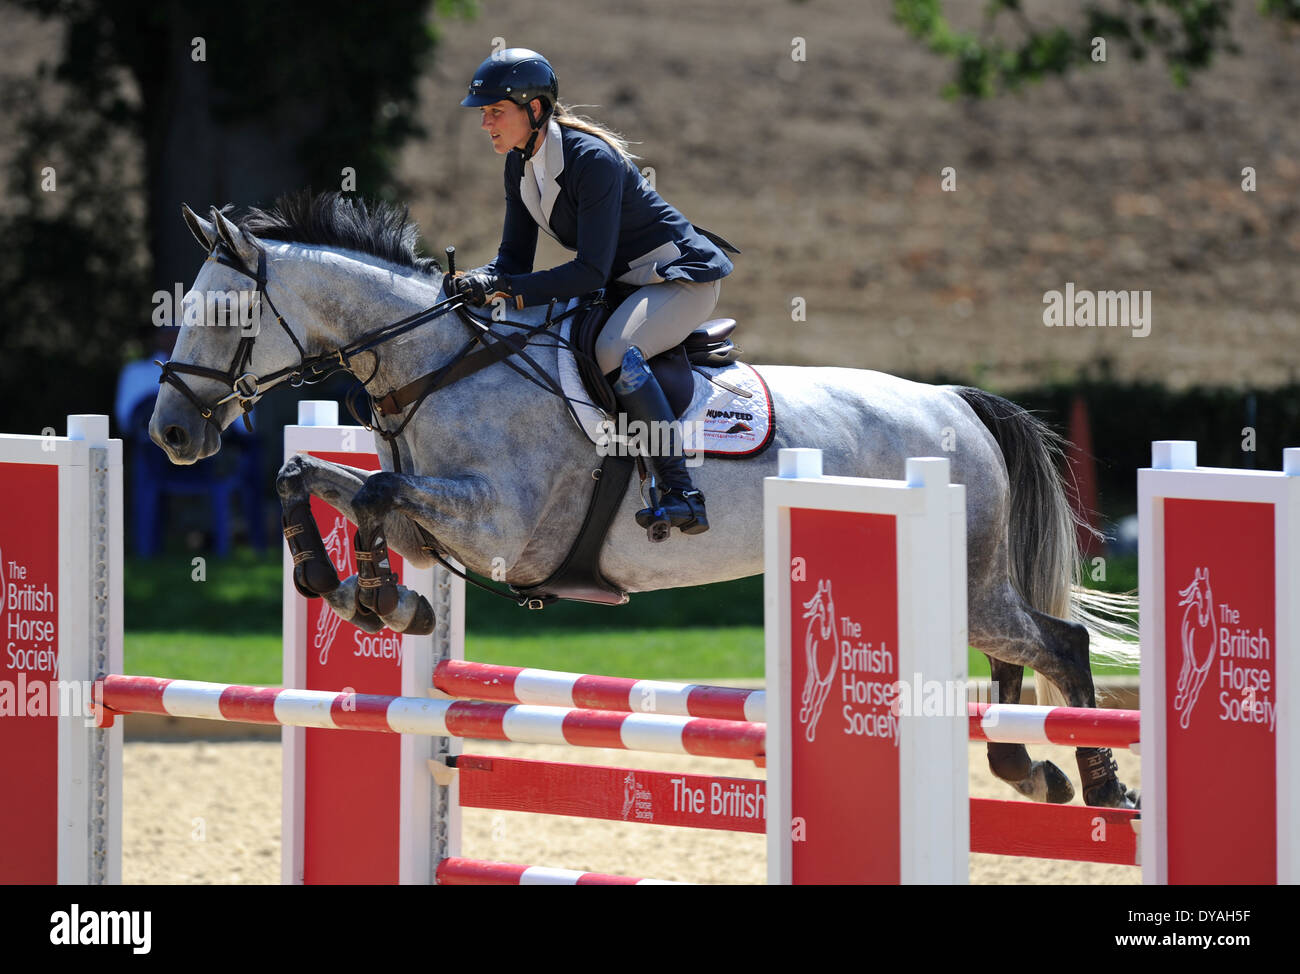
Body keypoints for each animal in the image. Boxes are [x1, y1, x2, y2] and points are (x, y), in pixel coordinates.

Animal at [149, 192, 1138, 809]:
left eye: (229, 319)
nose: (169, 432)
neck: (440, 364)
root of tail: (955, 404)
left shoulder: (502, 525)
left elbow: (375, 491)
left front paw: (383, 599)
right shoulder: (436, 524)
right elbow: (319, 482)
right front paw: (356, 590)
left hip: (969, 579)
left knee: (1060, 640)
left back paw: (1097, 783)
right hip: (971, 583)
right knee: (1022, 651)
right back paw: (1028, 767)